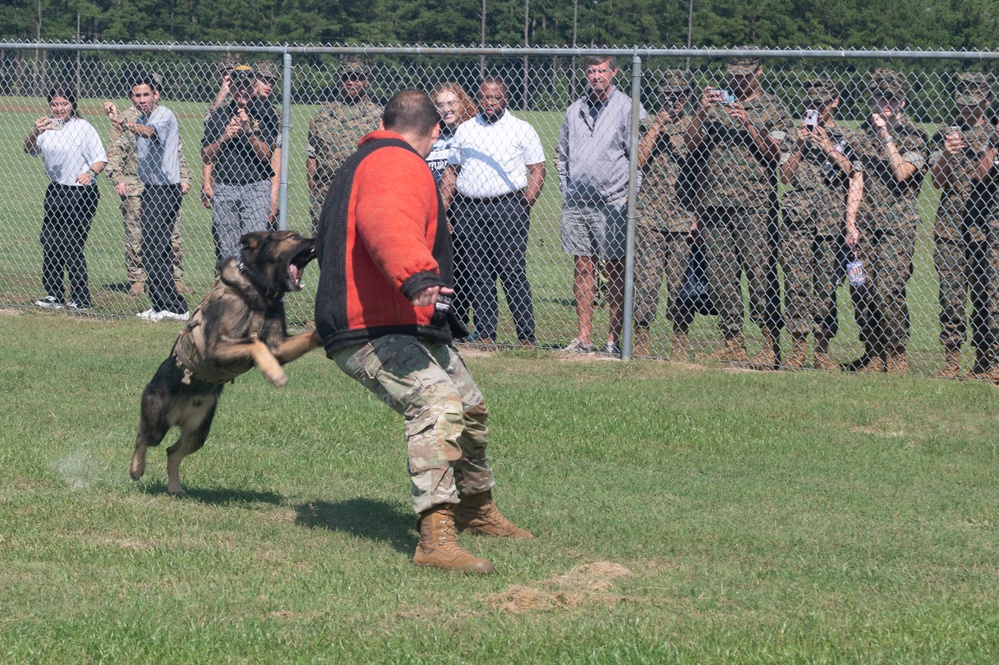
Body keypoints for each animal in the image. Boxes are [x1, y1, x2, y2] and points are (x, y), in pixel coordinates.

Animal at [132, 231, 320, 496]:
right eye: (293, 236)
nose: (316, 238)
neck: (257, 288)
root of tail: (182, 411)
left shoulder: (278, 347)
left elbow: (280, 343)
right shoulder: (214, 348)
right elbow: (255, 344)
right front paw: (274, 373)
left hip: (199, 433)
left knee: (172, 452)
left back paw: (175, 487)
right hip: (158, 422)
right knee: (143, 436)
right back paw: (136, 468)